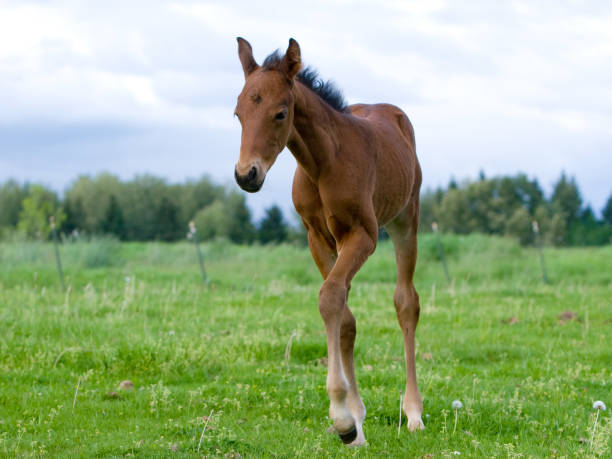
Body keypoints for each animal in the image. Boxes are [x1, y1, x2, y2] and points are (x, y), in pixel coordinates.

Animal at [232, 38, 424, 446]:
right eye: (238, 113)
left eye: (280, 113)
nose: (246, 175)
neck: (322, 163)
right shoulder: (316, 237)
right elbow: (342, 313)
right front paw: (354, 422)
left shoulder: (362, 235)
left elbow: (331, 296)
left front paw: (341, 416)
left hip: (406, 220)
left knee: (406, 303)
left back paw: (414, 412)